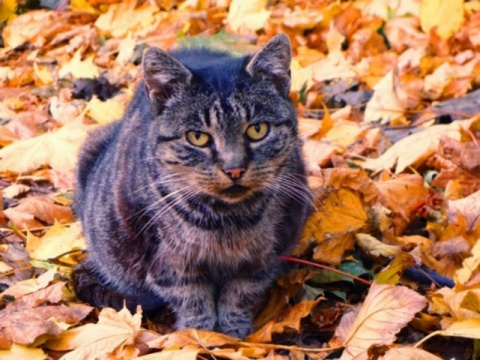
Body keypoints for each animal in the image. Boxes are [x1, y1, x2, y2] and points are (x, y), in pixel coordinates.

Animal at [72, 33, 312, 338]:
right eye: (197, 137)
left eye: (257, 130)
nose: (234, 168)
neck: (228, 220)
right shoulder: (168, 263)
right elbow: (192, 300)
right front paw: (198, 336)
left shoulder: (264, 256)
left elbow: (240, 293)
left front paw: (234, 332)